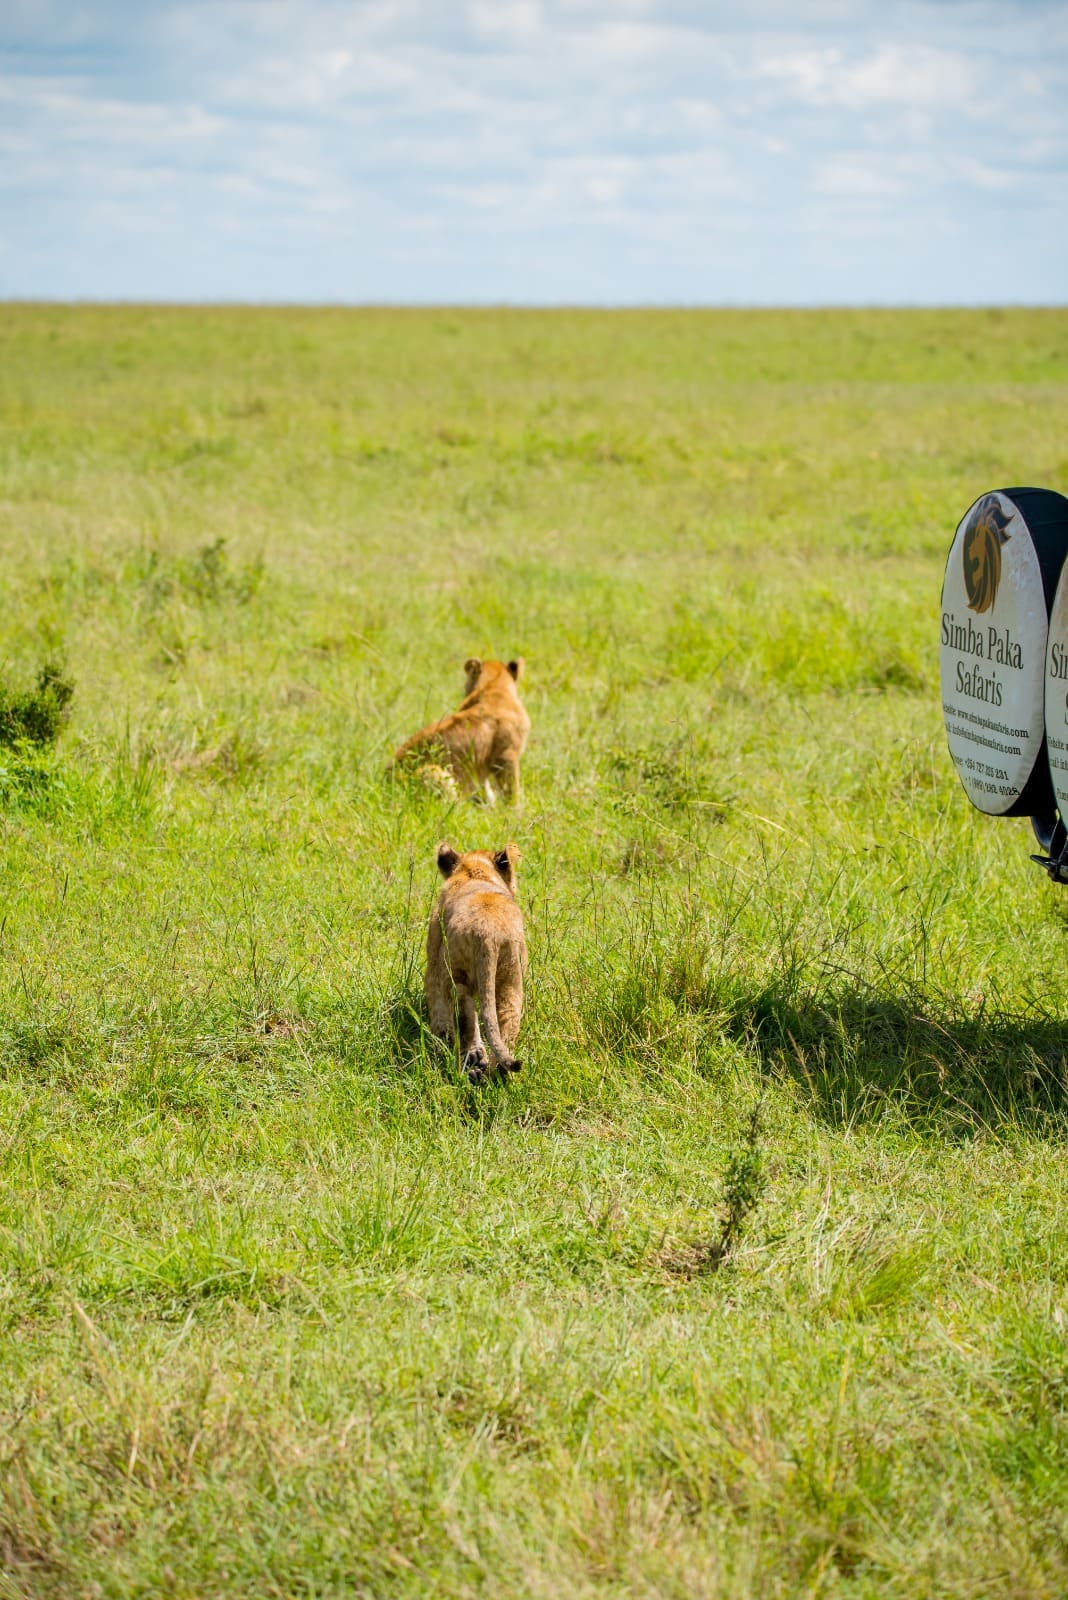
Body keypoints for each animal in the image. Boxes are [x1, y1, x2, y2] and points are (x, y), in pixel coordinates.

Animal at [391, 657, 529, 804]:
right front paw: (515, 810)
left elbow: (485, 790)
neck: (493, 687)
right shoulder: (505, 756)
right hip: (431, 771)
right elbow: (511, 791)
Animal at [425, 841, 527, 1083]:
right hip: (511, 976)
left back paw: (475, 1060)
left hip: (454, 970)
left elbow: (437, 1005)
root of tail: (487, 933)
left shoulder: (433, 958)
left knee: (464, 1010)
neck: (474, 870)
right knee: (507, 1020)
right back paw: (497, 1071)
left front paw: (440, 1033)